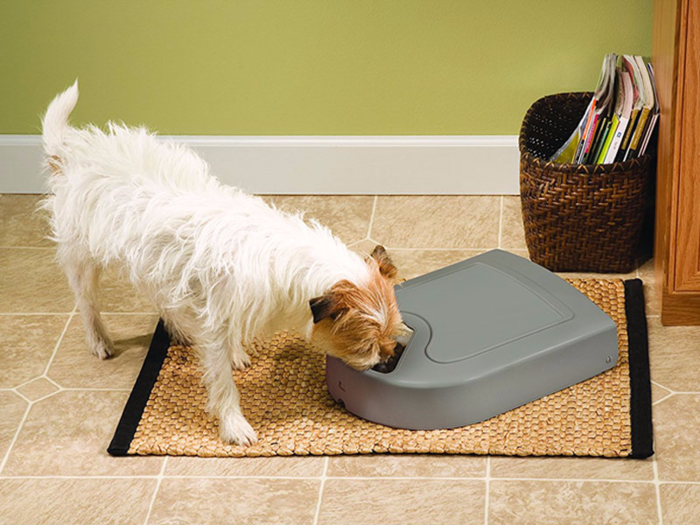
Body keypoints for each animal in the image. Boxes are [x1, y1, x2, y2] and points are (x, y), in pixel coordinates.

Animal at [42, 82, 404, 442]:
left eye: (391, 333)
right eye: (365, 345)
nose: (390, 362)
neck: (284, 261)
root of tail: (71, 154)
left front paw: (236, 354)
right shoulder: (214, 322)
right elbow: (221, 381)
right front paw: (234, 424)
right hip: (82, 257)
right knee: (86, 300)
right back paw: (99, 340)